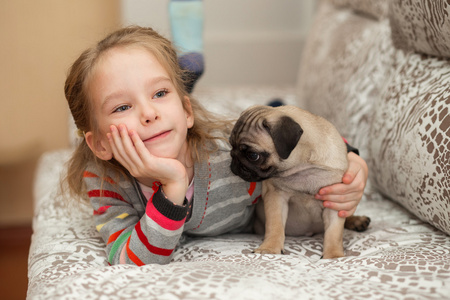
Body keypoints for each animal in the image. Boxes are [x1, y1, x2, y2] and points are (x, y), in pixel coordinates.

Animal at [230, 105, 370, 258]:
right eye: (231, 145)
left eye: (253, 155)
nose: (234, 162)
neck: (304, 168)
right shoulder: (276, 197)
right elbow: (275, 226)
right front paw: (270, 248)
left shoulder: (334, 202)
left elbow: (334, 233)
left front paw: (334, 256)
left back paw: (357, 220)